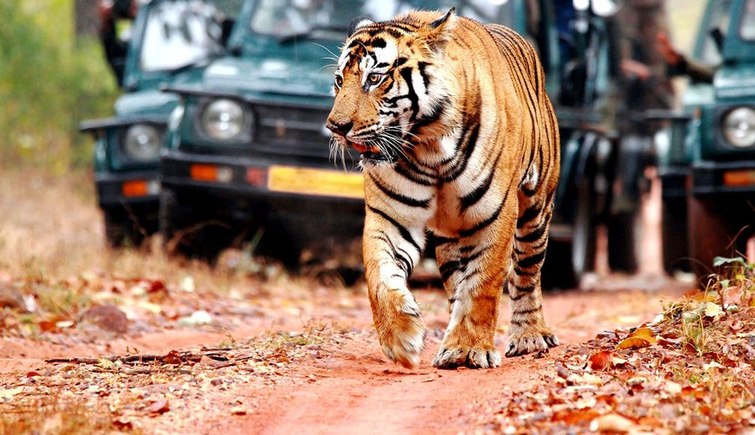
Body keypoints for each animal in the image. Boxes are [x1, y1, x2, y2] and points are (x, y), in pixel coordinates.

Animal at [326, 7, 560, 368]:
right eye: (340, 80)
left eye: (375, 79)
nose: (335, 127)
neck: (428, 148)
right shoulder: (391, 217)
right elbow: (380, 277)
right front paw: (401, 339)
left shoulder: (495, 214)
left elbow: (483, 283)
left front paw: (468, 349)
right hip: (452, 236)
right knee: (456, 281)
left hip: (535, 210)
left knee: (526, 274)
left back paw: (530, 336)